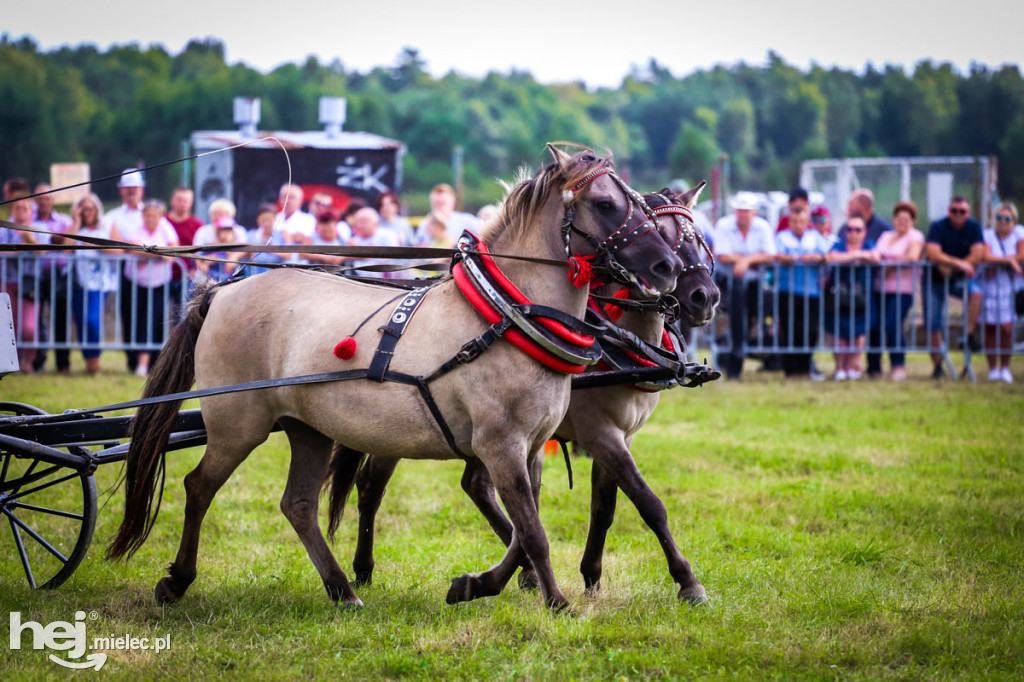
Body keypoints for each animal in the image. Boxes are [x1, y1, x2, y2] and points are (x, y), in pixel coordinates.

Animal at [108, 144, 688, 610]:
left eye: (642, 205)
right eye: (606, 205)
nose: (669, 269)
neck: (505, 316)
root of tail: (223, 290)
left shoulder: (530, 446)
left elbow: (524, 531)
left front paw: (476, 585)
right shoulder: (502, 445)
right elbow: (534, 532)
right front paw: (557, 602)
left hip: (308, 429)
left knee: (298, 505)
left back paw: (343, 589)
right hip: (237, 423)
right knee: (199, 487)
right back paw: (179, 580)